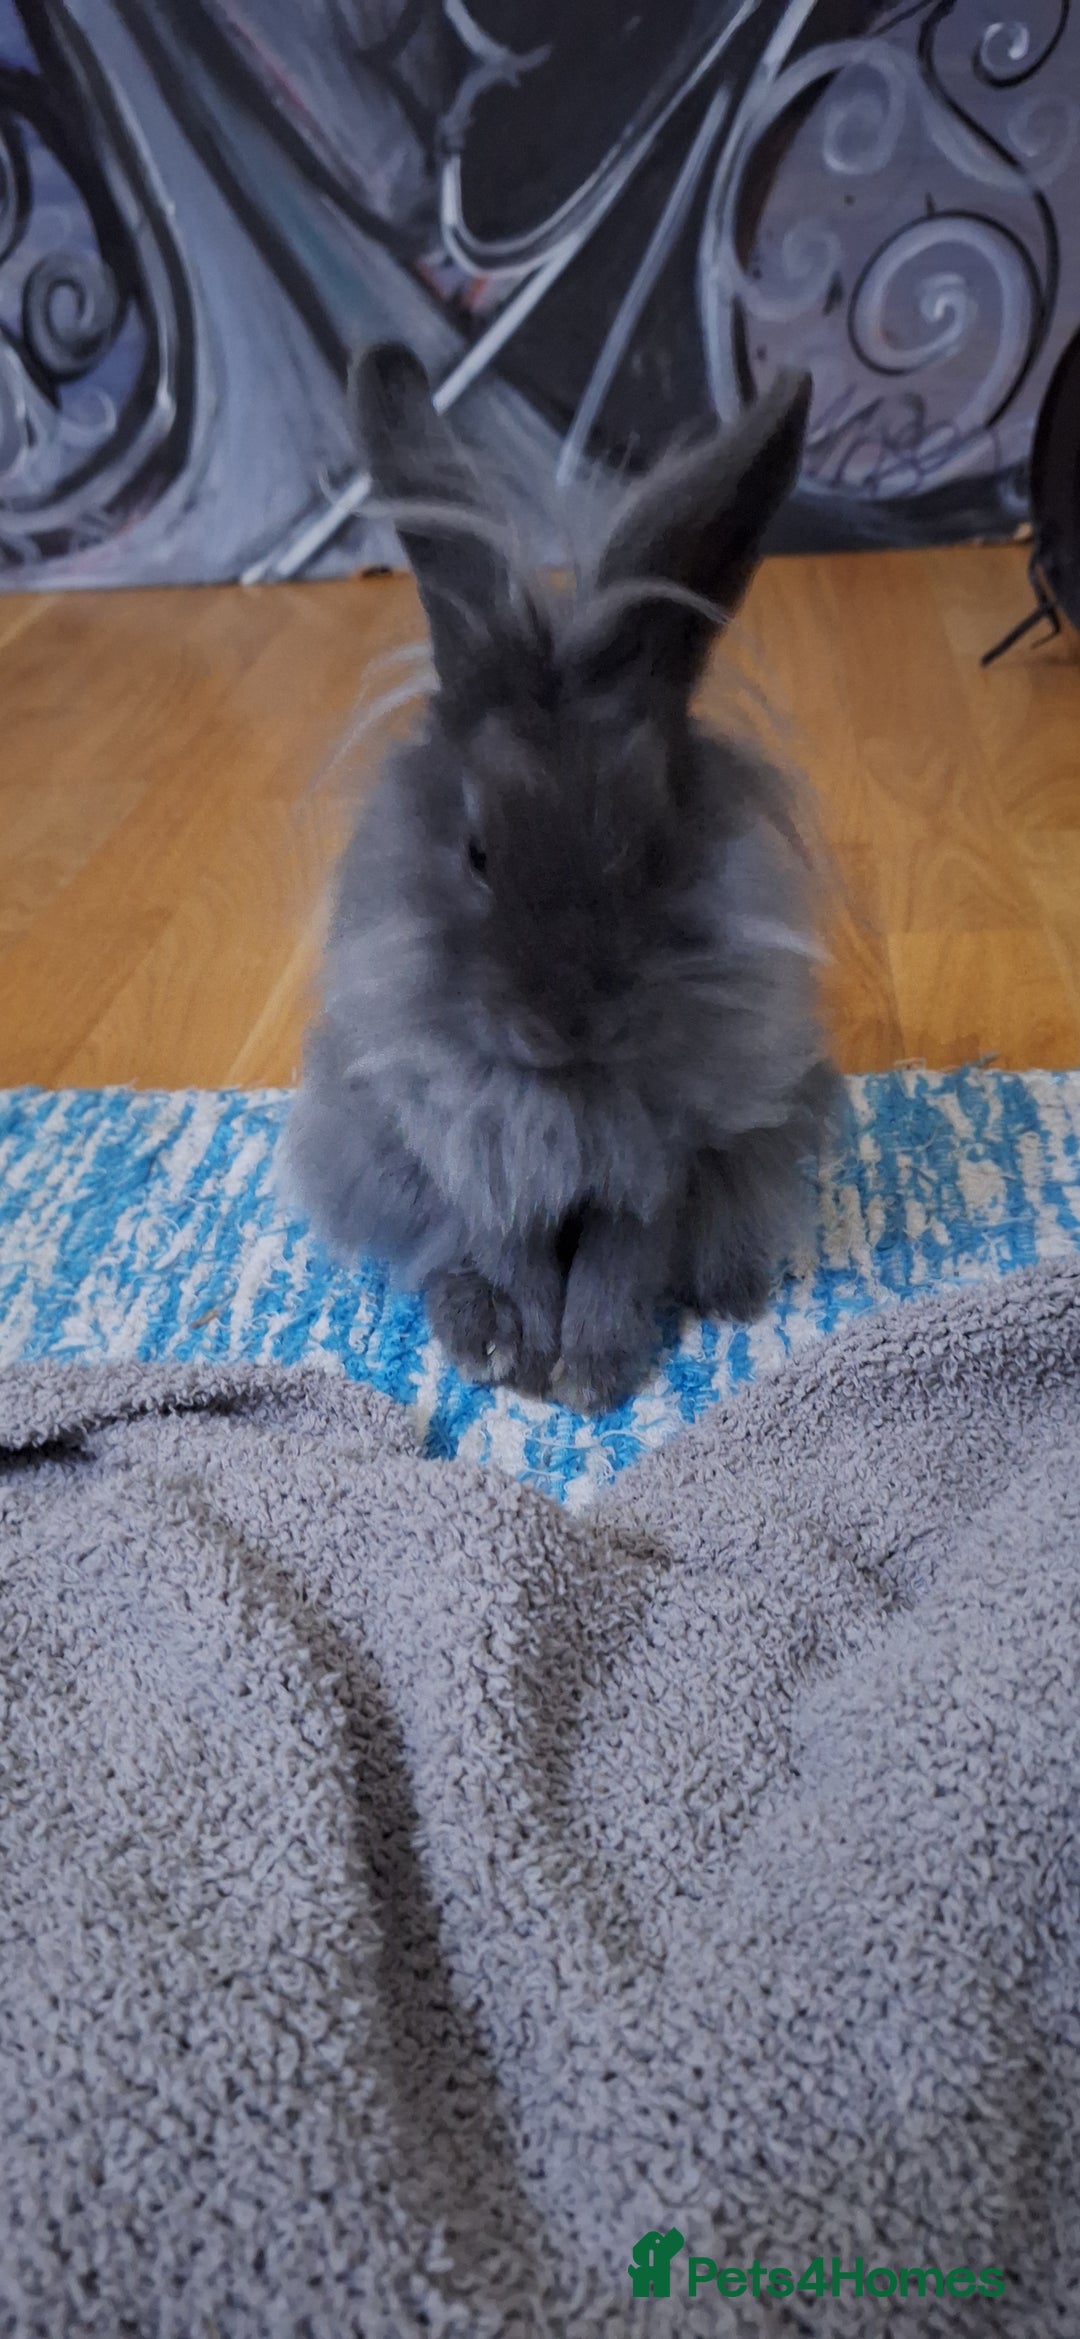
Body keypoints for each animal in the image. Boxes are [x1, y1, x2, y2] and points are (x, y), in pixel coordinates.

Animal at [283, 342, 838, 1414]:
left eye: (654, 841)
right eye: (476, 852)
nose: (567, 1022)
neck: (562, 1091)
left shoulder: (667, 1159)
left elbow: (625, 1252)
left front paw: (591, 1369)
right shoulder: (468, 1150)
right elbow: (507, 1246)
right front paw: (524, 1353)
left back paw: (733, 1291)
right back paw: (472, 1330)